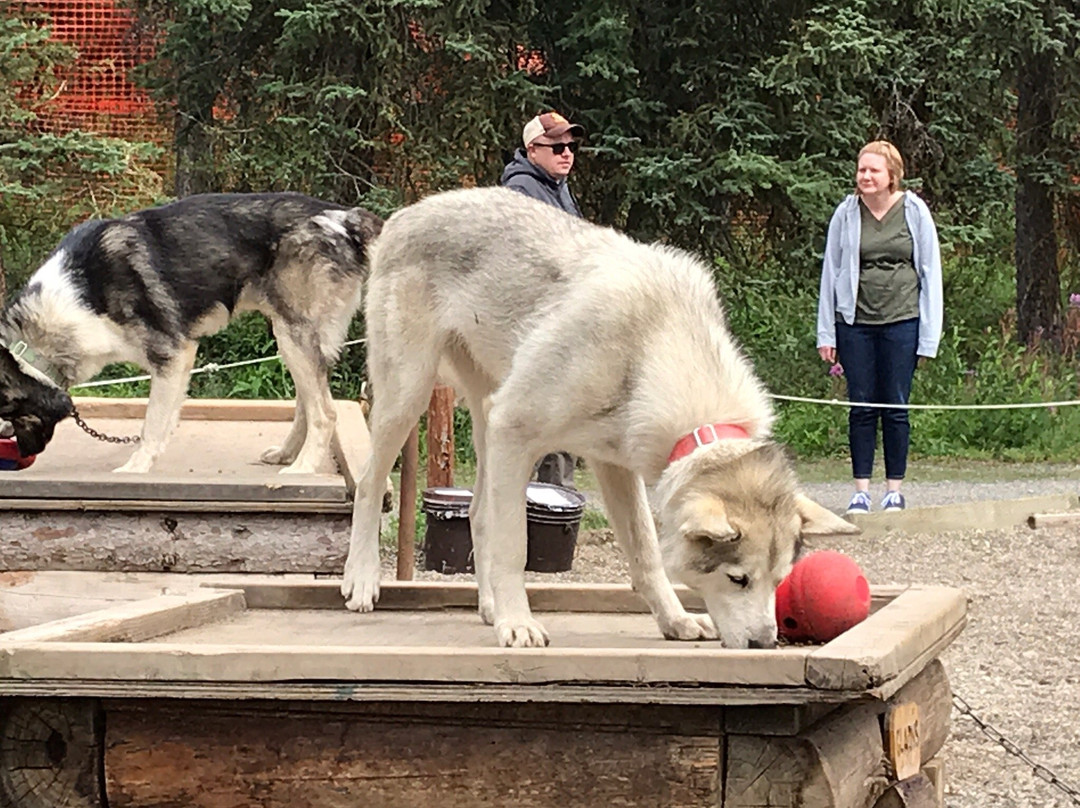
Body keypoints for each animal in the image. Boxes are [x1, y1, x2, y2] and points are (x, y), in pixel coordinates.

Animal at [0, 193, 382, 473]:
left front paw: (137, 468)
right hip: (294, 339)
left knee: (325, 413)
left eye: (8, 417)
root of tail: (345, 216)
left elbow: (152, 423)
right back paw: (287, 454)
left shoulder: (173, 355)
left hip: (293, 336)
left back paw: (302, 470)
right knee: (309, 403)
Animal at [341, 185, 855, 648]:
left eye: (779, 581)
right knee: (370, 484)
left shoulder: (616, 465)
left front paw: (674, 621)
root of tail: (407, 213)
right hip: (411, 399)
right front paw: (519, 626)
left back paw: (489, 607)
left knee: (477, 511)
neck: (654, 341)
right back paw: (363, 582)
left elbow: (645, 552)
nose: (765, 644)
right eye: (738, 579)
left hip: (486, 420)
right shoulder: (518, 429)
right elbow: (515, 546)